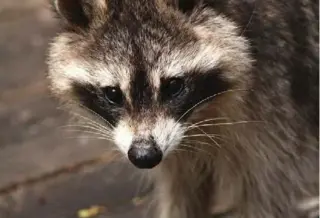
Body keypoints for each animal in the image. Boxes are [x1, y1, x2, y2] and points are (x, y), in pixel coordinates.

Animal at [46, 0, 318, 218]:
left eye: (173, 86)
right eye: (113, 94)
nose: (144, 156)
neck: (202, 113)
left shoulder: (275, 96)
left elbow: (268, 192)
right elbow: (181, 189)